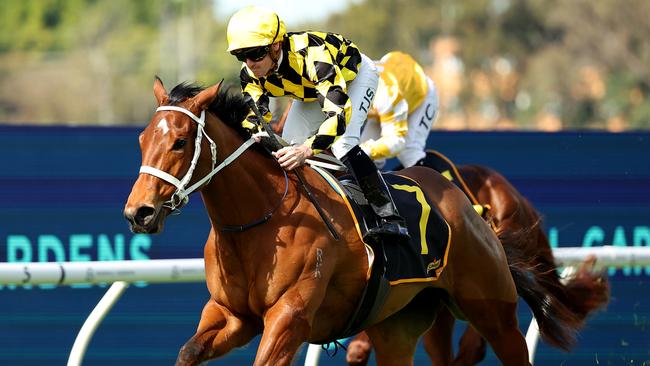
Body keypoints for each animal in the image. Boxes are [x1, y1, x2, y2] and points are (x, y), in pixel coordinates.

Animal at [125, 78, 556, 364]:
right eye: (143, 140)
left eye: (180, 141)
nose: (138, 212)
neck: (260, 219)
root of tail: (466, 204)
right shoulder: (232, 315)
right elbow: (188, 351)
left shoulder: (289, 317)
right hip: (399, 325)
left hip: (492, 310)